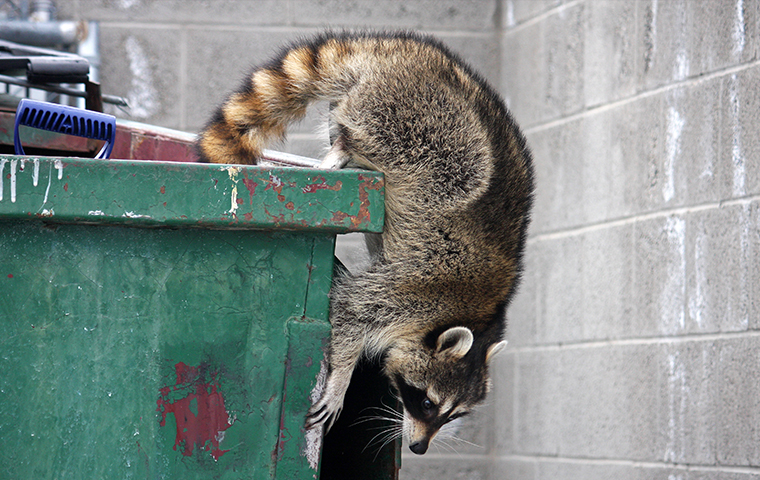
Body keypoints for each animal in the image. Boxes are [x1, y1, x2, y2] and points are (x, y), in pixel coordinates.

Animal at [199, 30, 536, 454]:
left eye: (452, 416)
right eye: (426, 402)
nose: (419, 448)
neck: (479, 317)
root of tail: (394, 50)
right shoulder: (419, 290)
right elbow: (349, 309)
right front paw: (341, 378)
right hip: (426, 124)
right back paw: (345, 146)